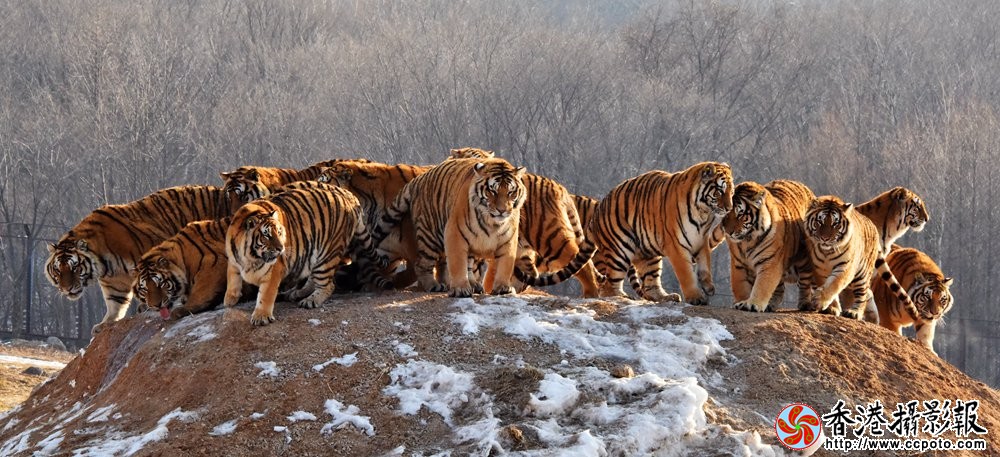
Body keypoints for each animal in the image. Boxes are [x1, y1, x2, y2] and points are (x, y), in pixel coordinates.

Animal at [46, 185, 246, 334]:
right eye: (58, 270)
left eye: (75, 268)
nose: (66, 289)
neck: (103, 263)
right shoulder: (114, 282)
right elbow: (115, 303)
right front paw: (105, 324)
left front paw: (147, 306)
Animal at [224, 181, 385, 325]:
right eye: (267, 235)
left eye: (280, 232)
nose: (281, 248)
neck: (249, 257)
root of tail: (348, 198)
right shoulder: (233, 259)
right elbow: (232, 278)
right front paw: (229, 300)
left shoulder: (273, 271)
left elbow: (265, 295)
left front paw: (261, 316)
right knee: (313, 280)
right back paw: (295, 293)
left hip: (327, 255)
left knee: (328, 285)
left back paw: (310, 301)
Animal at [372, 158, 527, 297]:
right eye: (492, 191)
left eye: (511, 192)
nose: (502, 210)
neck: (492, 223)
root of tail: (419, 179)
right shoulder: (455, 233)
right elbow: (457, 263)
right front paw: (461, 290)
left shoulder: (508, 239)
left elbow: (505, 264)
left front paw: (503, 288)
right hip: (431, 236)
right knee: (422, 264)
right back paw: (433, 285)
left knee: (461, 264)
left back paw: (468, 284)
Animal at [587, 162, 733, 304]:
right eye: (719, 192)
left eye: (731, 192)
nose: (729, 208)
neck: (703, 213)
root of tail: (595, 213)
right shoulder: (676, 245)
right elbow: (686, 274)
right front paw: (695, 297)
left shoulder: (701, 240)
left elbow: (705, 265)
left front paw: (708, 287)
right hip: (619, 250)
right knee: (608, 287)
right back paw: (623, 297)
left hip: (648, 253)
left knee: (650, 285)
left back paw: (667, 297)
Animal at [722, 180, 815, 312]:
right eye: (726, 213)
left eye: (740, 214)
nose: (728, 232)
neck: (747, 241)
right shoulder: (738, 264)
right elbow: (740, 286)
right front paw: (741, 302)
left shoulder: (769, 262)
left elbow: (762, 285)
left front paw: (752, 304)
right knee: (780, 288)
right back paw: (771, 305)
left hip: (804, 261)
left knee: (805, 284)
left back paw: (806, 304)